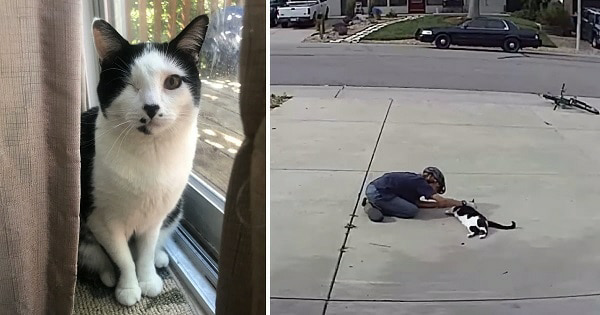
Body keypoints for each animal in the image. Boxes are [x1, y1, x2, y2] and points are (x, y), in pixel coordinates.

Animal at [78, 15, 209, 308]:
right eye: (129, 84)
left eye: (172, 82)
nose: (151, 107)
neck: (151, 152)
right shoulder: (101, 219)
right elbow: (123, 257)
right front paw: (129, 287)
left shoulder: (156, 215)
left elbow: (145, 252)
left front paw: (148, 279)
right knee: (96, 255)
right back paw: (107, 275)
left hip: (175, 208)